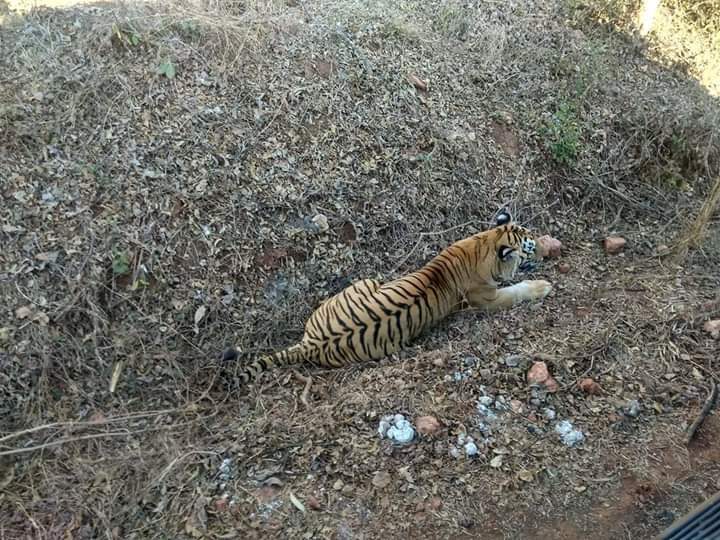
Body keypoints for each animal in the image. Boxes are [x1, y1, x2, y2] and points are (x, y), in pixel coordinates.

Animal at [225, 210, 552, 384]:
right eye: (530, 247)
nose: (545, 249)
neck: (484, 242)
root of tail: (310, 344)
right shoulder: (488, 298)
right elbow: (517, 290)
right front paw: (543, 285)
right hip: (370, 281)